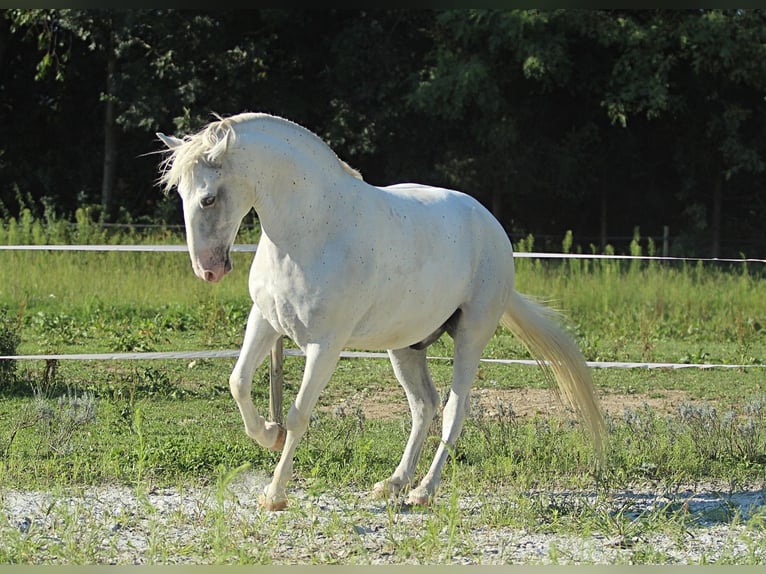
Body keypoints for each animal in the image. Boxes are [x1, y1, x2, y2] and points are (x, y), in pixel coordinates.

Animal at [158, 112, 608, 512]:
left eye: (208, 198)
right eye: (179, 194)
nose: (208, 270)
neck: (310, 231)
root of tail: (492, 228)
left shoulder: (325, 345)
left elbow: (300, 414)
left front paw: (274, 494)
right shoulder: (266, 322)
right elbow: (237, 382)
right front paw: (270, 435)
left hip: (472, 335)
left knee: (453, 410)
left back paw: (423, 491)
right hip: (405, 346)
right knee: (423, 406)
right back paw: (393, 483)